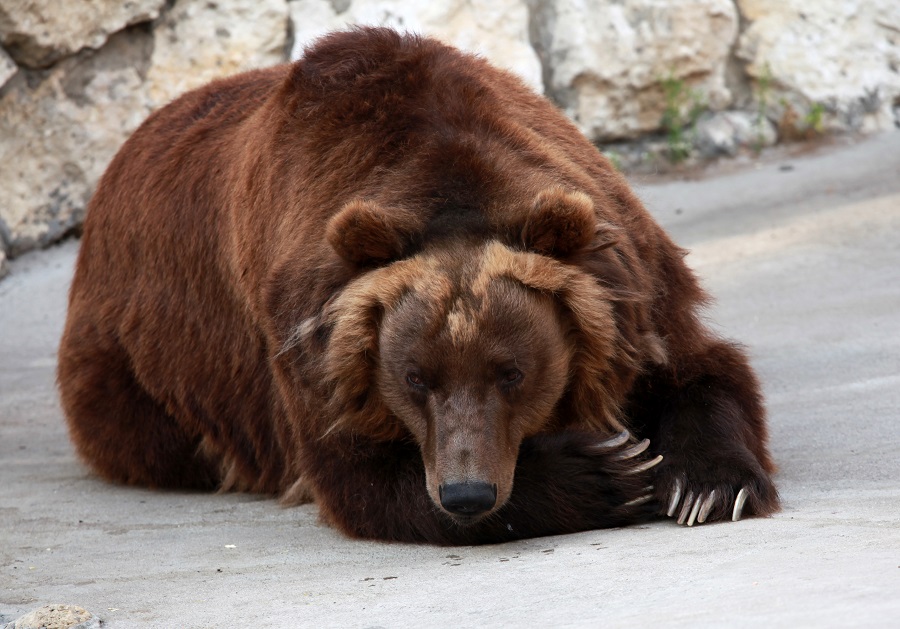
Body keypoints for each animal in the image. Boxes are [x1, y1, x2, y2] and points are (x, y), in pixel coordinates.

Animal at [56, 27, 776, 544]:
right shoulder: (305, 340)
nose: (467, 492)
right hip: (140, 376)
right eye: (414, 377)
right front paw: (607, 469)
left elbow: (701, 369)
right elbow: (359, 478)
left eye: (511, 372)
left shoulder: (634, 286)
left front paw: (709, 485)